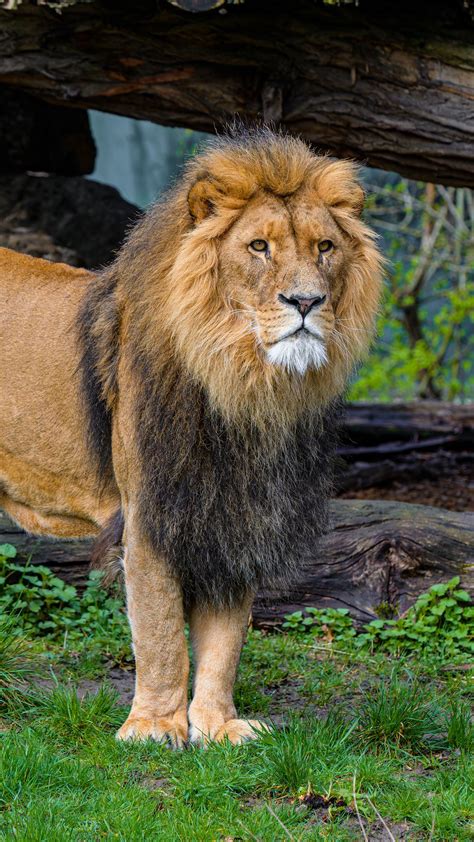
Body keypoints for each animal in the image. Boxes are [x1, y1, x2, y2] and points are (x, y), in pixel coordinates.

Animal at [0, 127, 383, 746]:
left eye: (325, 247)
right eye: (259, 247)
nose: (306, 301)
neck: (245, 387)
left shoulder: (238, 514)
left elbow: (226, 638)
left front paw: (218, 725)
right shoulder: (151, 513)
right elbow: (160, 634)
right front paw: (156, 725)